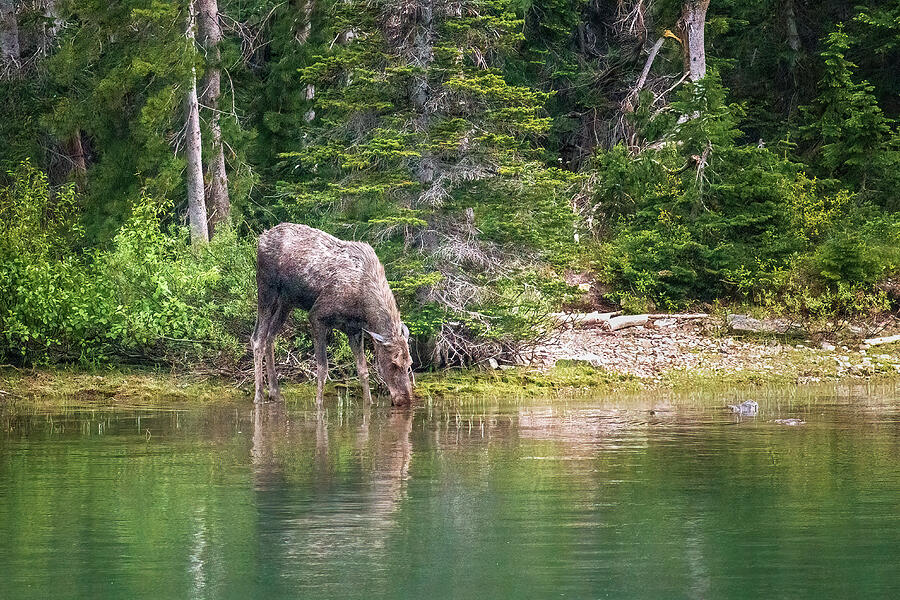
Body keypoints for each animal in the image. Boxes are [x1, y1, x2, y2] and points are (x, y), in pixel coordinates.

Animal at [251, 224, 416, 408]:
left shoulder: (354, 330)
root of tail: (262, 237)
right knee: (258, 338)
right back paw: (259, 396)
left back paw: (275, 392)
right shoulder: (317, 316)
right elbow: (323, 368)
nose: (404, 400)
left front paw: (369, 402)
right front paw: (318, 404)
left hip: (287, 302)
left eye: (409, 364)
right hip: (267, 290)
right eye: (394, 363)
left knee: (270, 337)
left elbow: (363, 370)